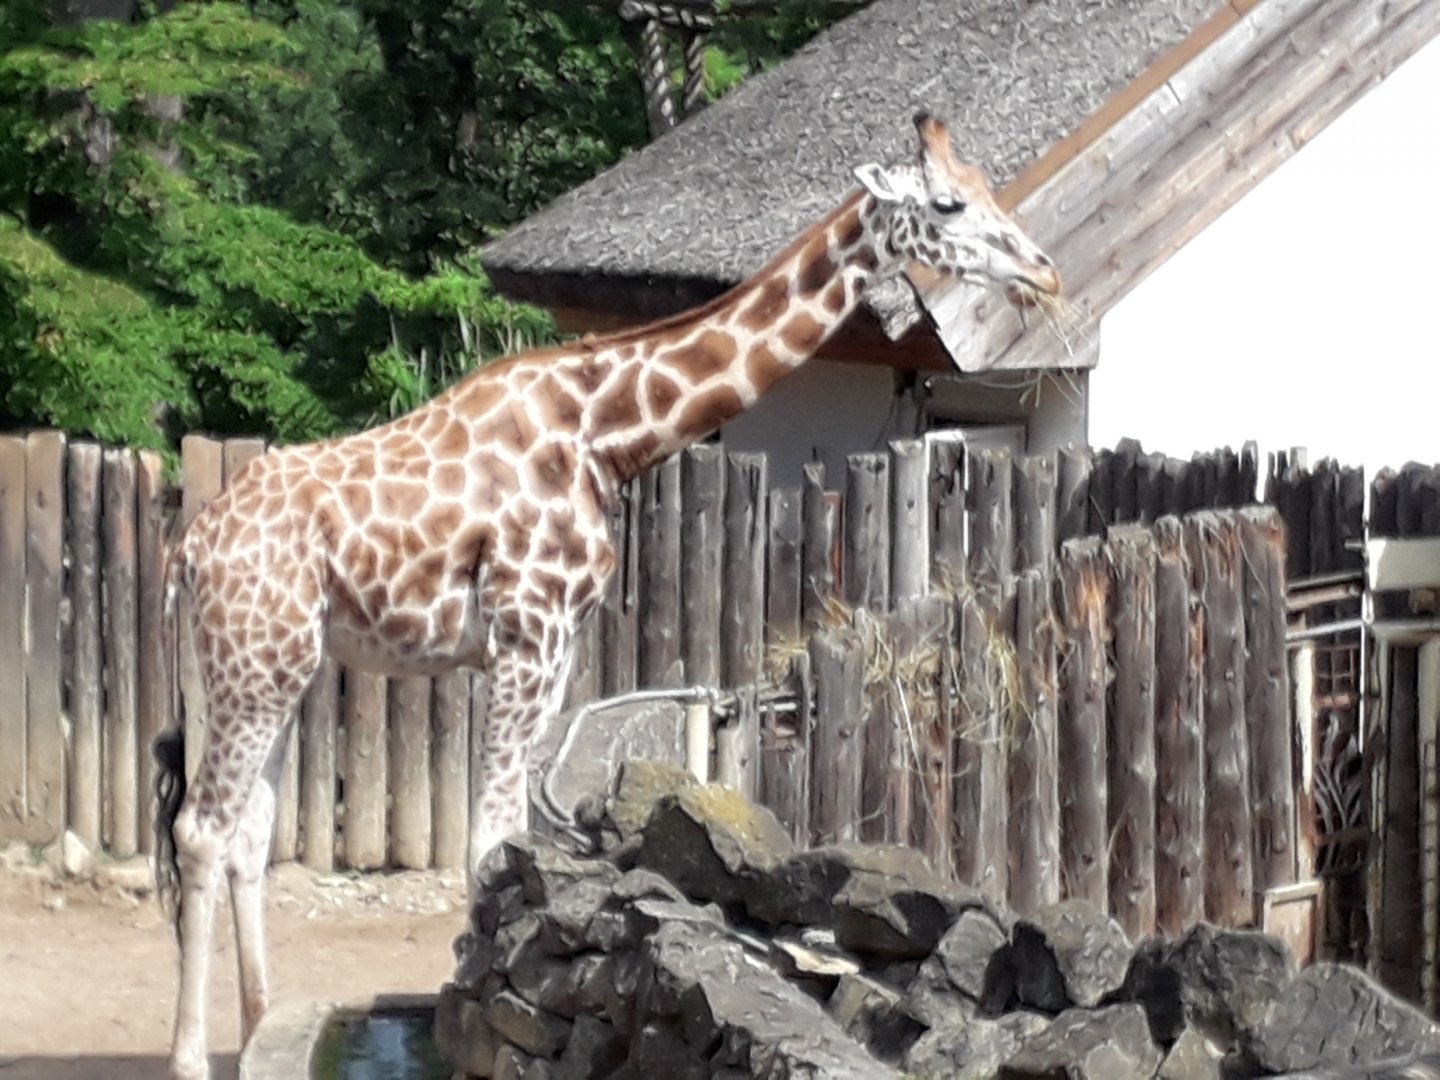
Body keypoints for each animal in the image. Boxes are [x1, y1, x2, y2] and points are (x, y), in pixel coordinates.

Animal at [154, 112, 1060, 1080]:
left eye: (988, 184)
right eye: (948, 202)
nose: (1044, 272)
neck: (607, 431)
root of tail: (190, 551)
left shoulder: (553, 646)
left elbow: (510, 839)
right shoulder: (526, 631)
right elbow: (485, 842)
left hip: (260, 667)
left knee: (247, 832)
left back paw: (260, 1024)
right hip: (257, 666)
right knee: (201, 830)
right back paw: (190, 1057)